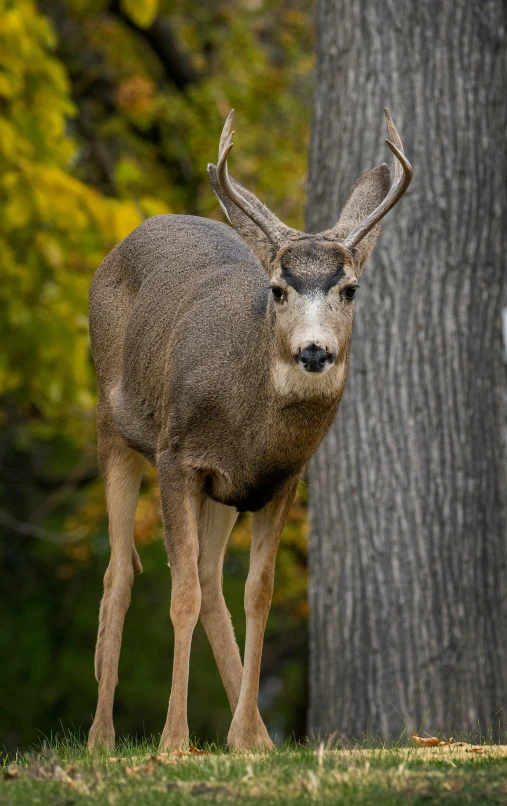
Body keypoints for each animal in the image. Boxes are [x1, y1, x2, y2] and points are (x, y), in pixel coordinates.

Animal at [88, 109, 412, 756]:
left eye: (350, 289)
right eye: (279, 289)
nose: (314, 351)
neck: (249, 425)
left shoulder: (280, 479)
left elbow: (256, 594)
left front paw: (242, 738)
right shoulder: (178, 457)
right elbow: (180, 593)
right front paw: (172, 742)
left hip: (222, 494)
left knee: (213, 582)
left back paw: (258, 736)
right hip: (115, 428)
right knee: (121, 571)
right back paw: (100, 739)